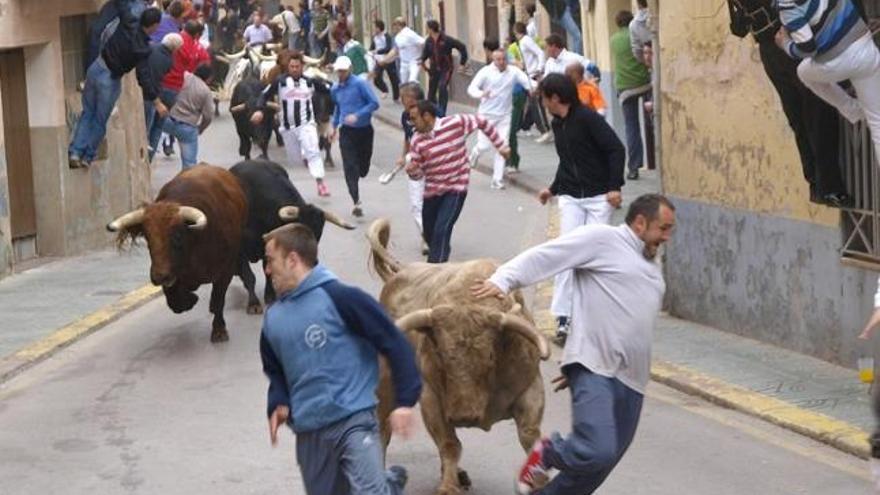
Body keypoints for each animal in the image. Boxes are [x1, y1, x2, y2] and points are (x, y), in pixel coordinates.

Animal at [109, 165, 251, 342]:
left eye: (176, 236)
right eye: (147, 237)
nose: (159, 276)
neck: (195, 241)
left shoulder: (226, 270)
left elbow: (219, 298)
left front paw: (219, 330)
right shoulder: (173, 275)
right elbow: (175, 301)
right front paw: (190, 299)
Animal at [366, 220, 552, 495]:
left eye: (490, 356)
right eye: (440, 354)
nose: (465, 416)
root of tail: (400, 273)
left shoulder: (530, 388)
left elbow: (530, 436)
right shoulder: (431, 398)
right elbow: (450, 444)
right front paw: (448, 486)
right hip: (388, 385)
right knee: (382, 429)